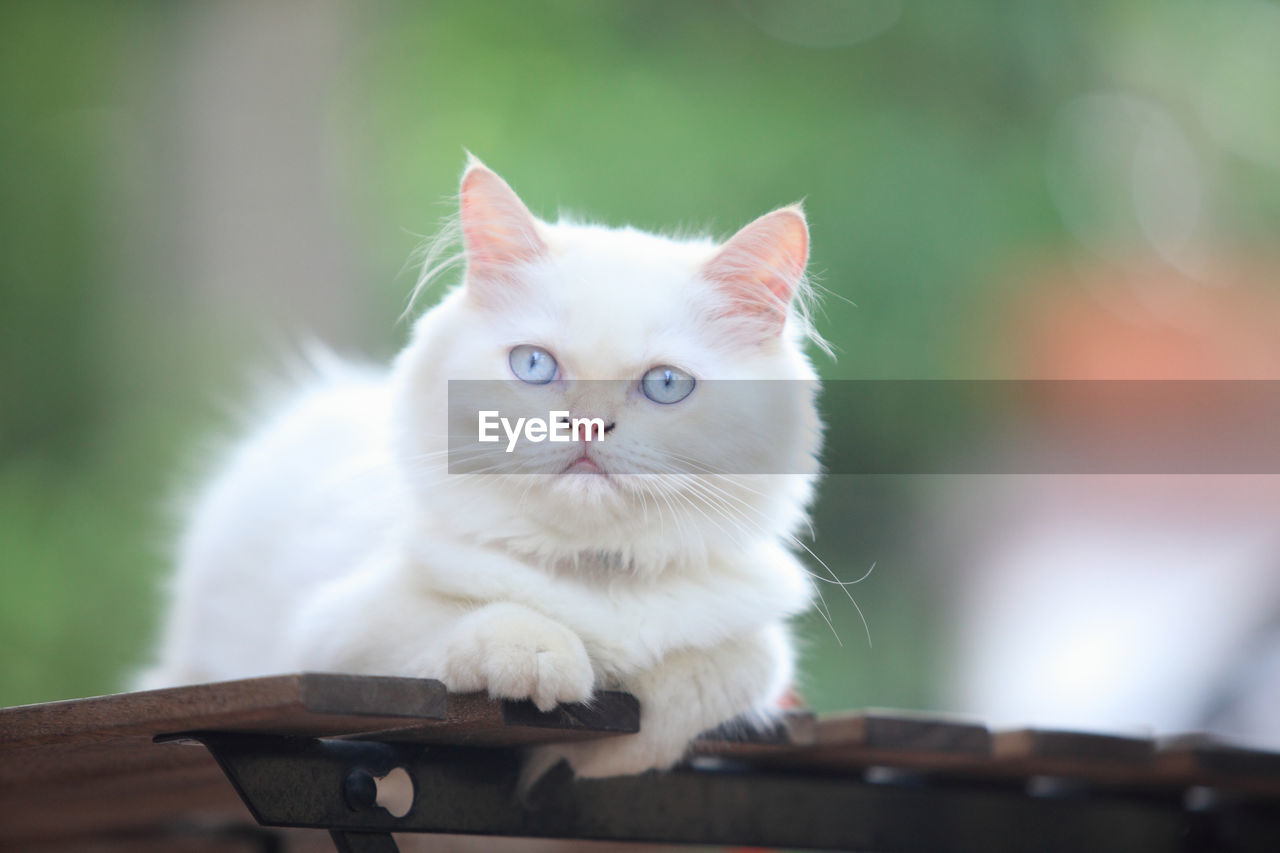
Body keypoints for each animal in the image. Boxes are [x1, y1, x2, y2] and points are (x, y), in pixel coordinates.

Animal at [140, 157, 819, 778]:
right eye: (535, 366)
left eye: (667, 384)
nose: (586, 425)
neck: (595, 576)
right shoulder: (333, 633)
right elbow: (473, 621)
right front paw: (546, 662)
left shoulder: (754, 643)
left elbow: (722, 672)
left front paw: (597, 749)